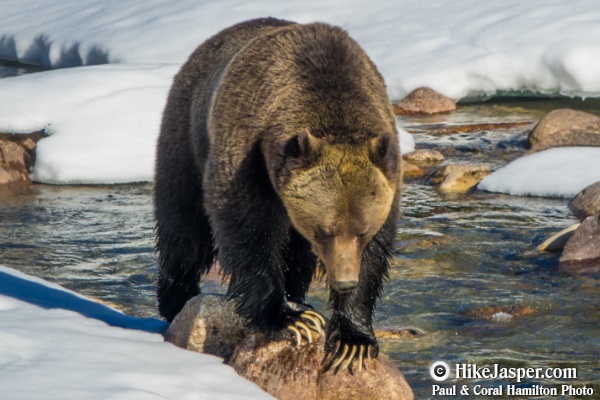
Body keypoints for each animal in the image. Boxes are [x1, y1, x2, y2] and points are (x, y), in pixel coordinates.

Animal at [155, 18, 400, 368]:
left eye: (363, 230)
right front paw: (291, 319)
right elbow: (247, 233)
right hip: (186, 137)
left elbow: (375, 255)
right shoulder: (248, 156)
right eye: (324, 230)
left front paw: (353, 340)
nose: (343, 280)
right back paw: (177, 299)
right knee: (184, 231)